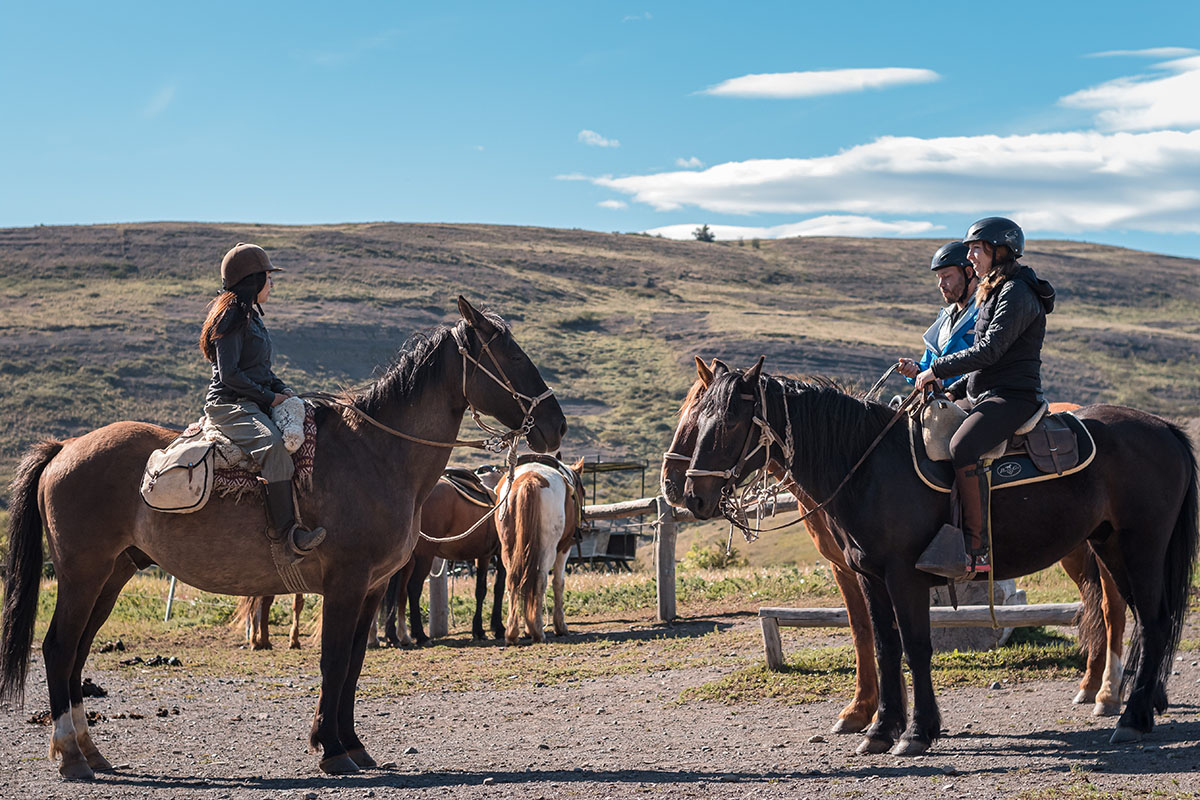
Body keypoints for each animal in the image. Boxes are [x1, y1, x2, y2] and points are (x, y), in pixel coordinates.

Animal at [1, 297, 566, 777]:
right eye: (512, 354)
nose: (556, 425)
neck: (377, 454)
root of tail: (65, 447)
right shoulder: (345, 583)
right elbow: (334, 660)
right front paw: (333, 751)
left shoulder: (372, 587)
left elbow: (354, 663)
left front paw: (350, 744)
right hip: (83, 573)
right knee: (58, 647)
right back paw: (71, 757)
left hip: (112, 574)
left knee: (77, 652)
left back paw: (91, 751)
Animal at [492, 455, 585, 642]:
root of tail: (530, 478)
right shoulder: (564, 548)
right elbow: (558, 583)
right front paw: (560, 626)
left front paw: (527, 628)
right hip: (548, 549)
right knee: (541, 579)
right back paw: (538, 631)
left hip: (508, 548)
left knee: (513, 580)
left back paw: (512, 632)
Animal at [681, 362, 1195, 758]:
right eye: (697, 419)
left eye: (728, 423)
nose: (692, 497)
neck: (869, 467)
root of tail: (1164, 427)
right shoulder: (870, 577)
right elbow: (885, 647)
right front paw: (879, 729)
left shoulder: (904, 577)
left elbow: (916, 648)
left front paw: (915, 733)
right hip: (1109, 547)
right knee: (1143, 618)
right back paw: (1140, 704)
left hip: (1141, 548)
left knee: (1148, 620)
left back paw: (1129, 715)